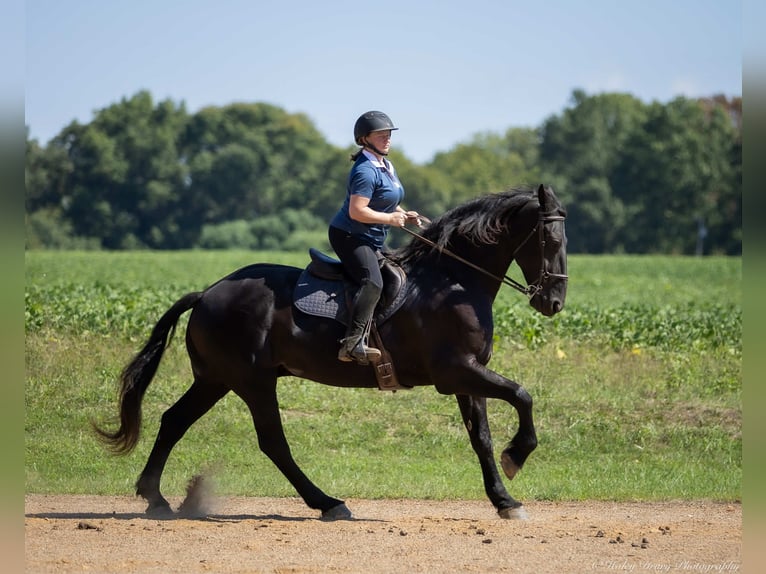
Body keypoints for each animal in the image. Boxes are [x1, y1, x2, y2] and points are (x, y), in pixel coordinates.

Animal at [95, 183, 568, 520]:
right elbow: (522, 395)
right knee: (272, 442)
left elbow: (482, 438)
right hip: (251, 381)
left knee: (174, 420)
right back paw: (327, 503)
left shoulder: (469, 375)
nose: (554, 302)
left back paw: (155, 498)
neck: (452, 281)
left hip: (216, 379)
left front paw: (505, 500)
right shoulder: (455, 372)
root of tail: (209, 293)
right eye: (548, 239)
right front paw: (517, 455)